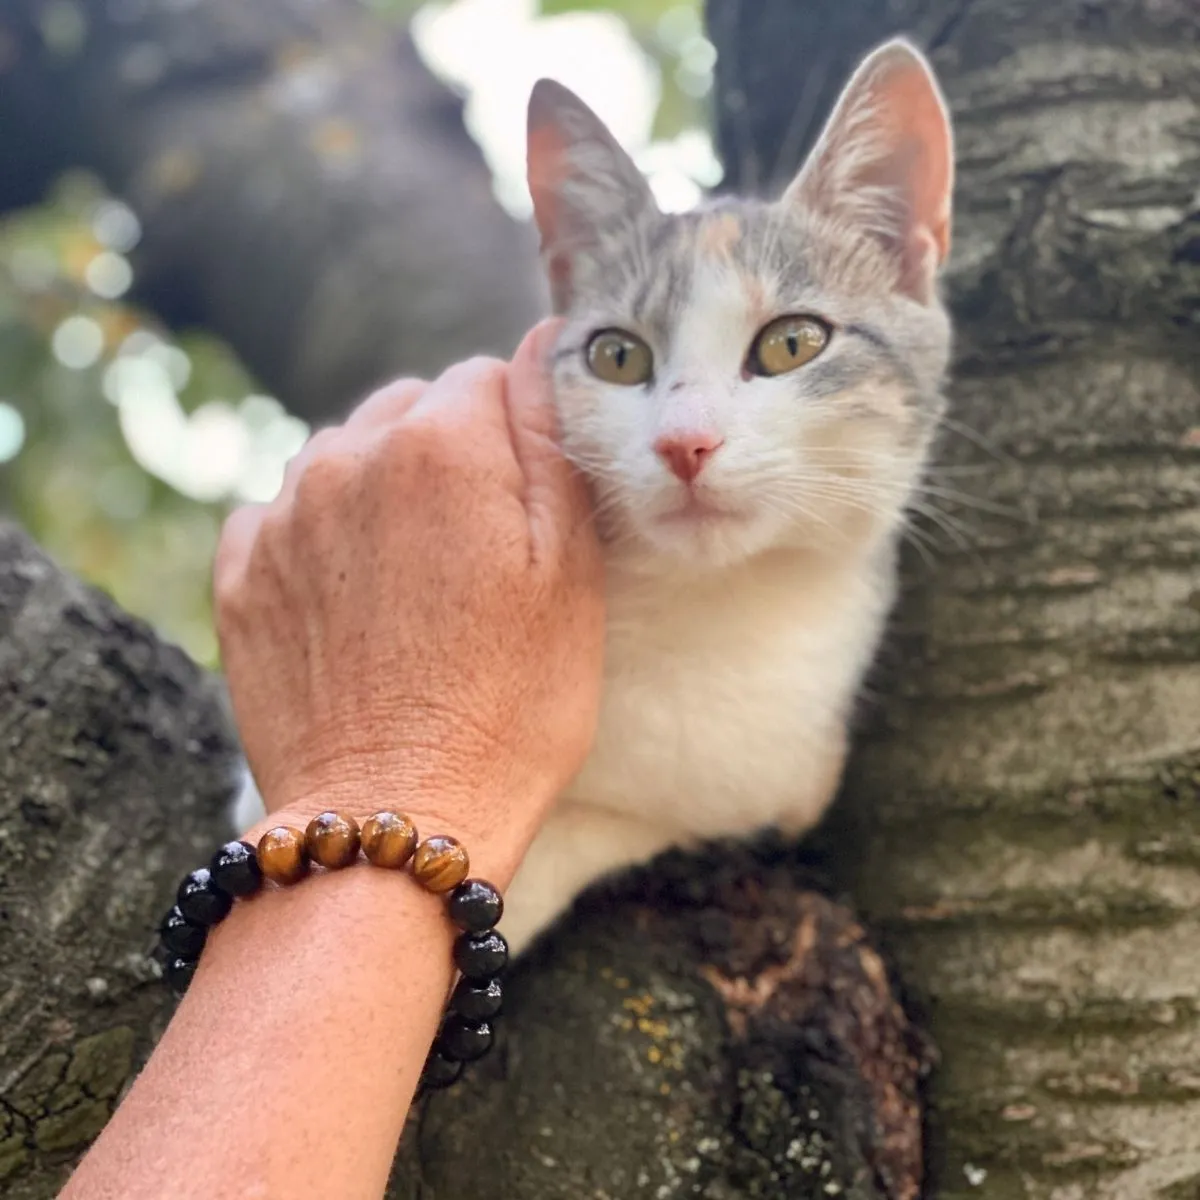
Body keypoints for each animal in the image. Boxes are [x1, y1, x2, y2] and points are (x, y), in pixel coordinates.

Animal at [231, 35, 955, 955]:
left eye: (794, 342)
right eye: (617, 356)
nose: (685, 442)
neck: (695, 607)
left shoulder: (783, 770)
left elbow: (639, 812)